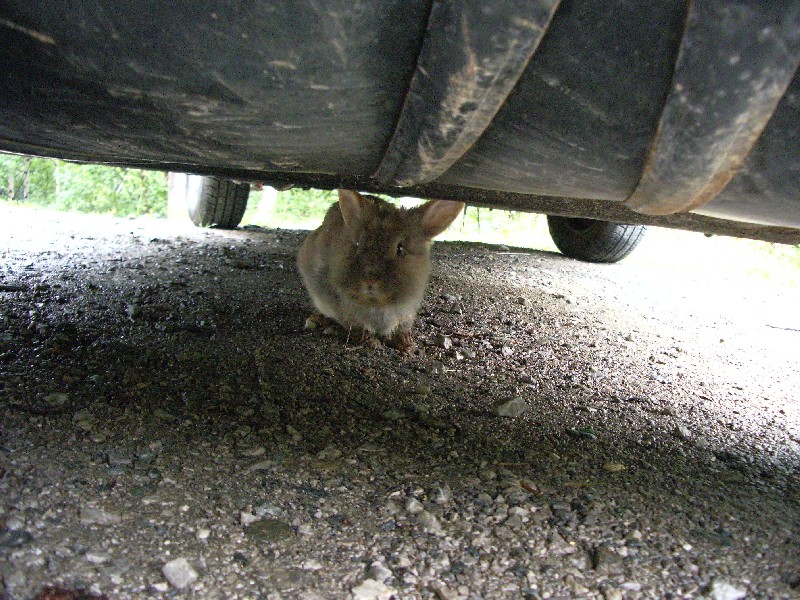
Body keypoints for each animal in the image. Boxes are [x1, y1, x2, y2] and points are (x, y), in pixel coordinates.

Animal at [297, 189, 464, 352]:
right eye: (358, 243)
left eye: (400, 248)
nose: (370, 281)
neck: (378, 303)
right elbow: (359, 328)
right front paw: (372, 343)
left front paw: (406, 345)